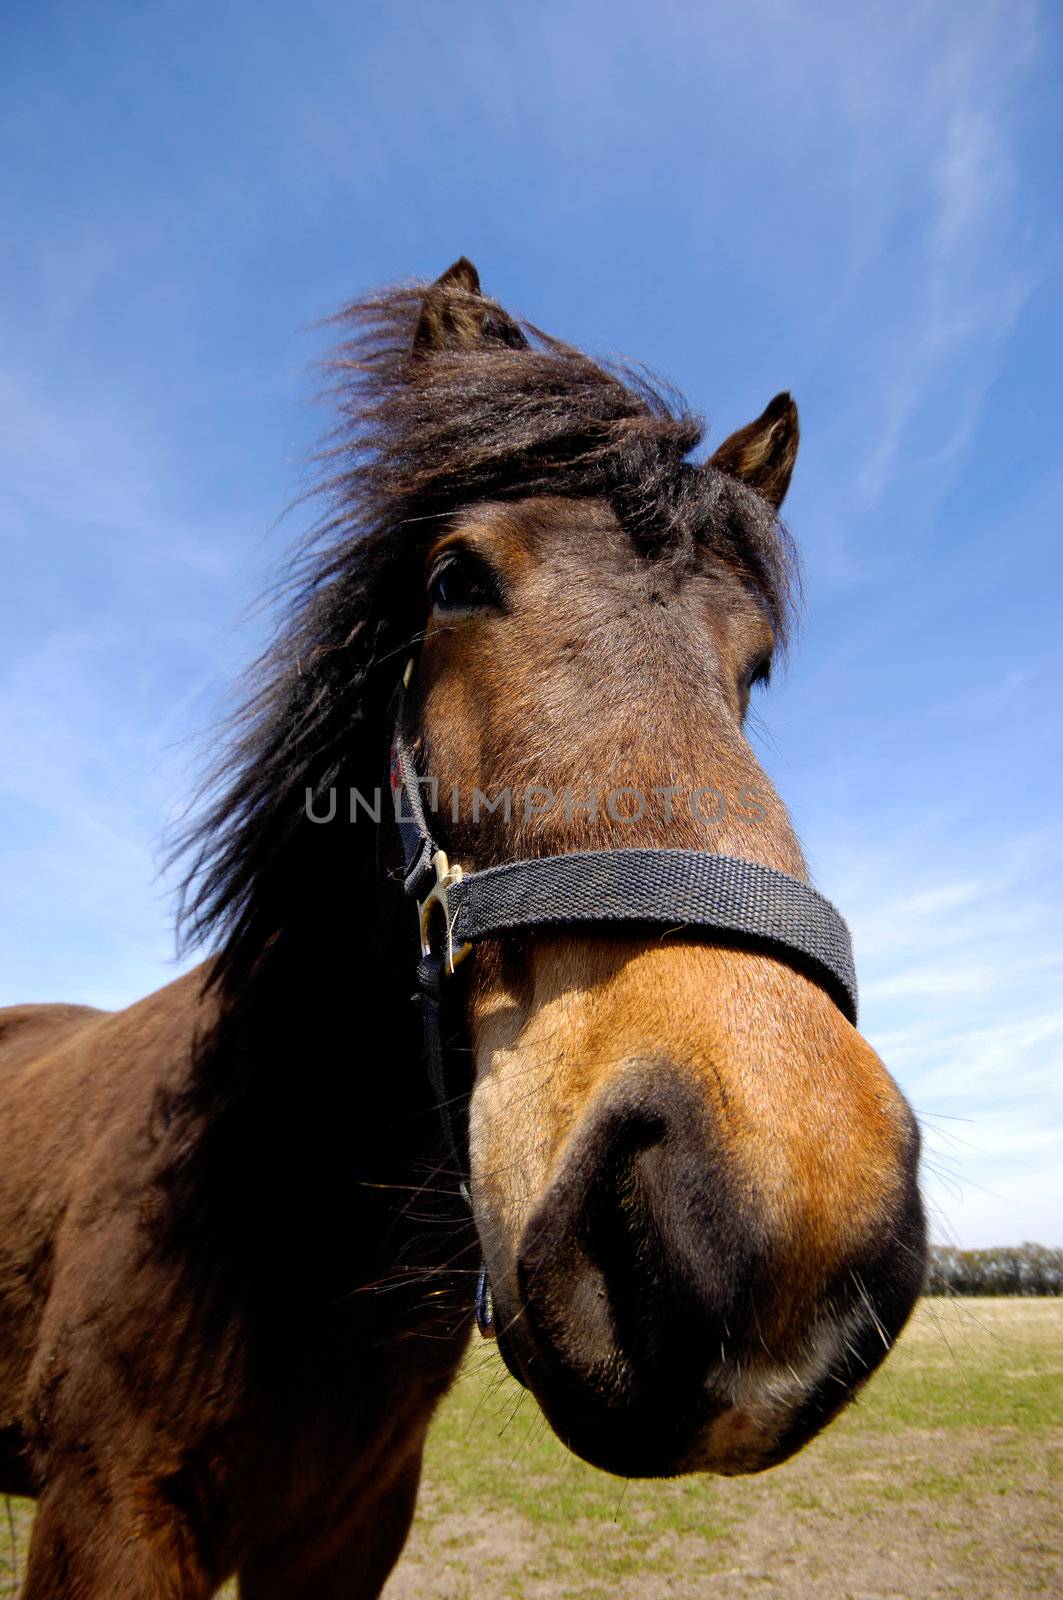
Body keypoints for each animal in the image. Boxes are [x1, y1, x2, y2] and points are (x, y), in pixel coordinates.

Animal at [0, 256, 922, 1593]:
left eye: (749, 668)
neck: (277, 1206)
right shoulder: (105, 1518)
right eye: (454, 581)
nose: (774, 1228)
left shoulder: (352, 1525)